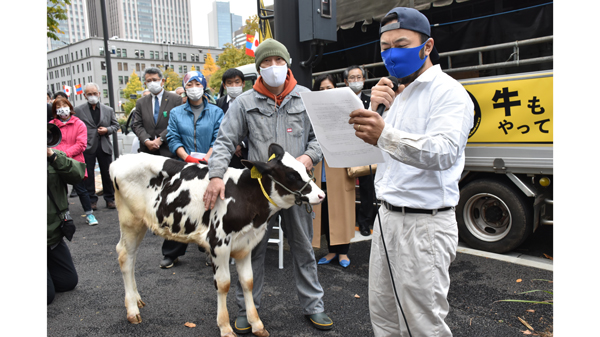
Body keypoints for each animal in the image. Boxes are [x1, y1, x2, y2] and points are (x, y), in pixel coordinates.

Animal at [108, 143, 324, 334]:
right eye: (292, 175)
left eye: (305, 169)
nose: (321, 195)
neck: (245, 195)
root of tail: (121, 159)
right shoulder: (218, 243)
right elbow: (224, 284)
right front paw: (225, 327)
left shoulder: (246, 244)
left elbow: (248, 282)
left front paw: (256, 324)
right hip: (130, 220)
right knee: (125, 256)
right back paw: (132, 311)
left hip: (141, 223)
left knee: (132, 256)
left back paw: (137, 299)